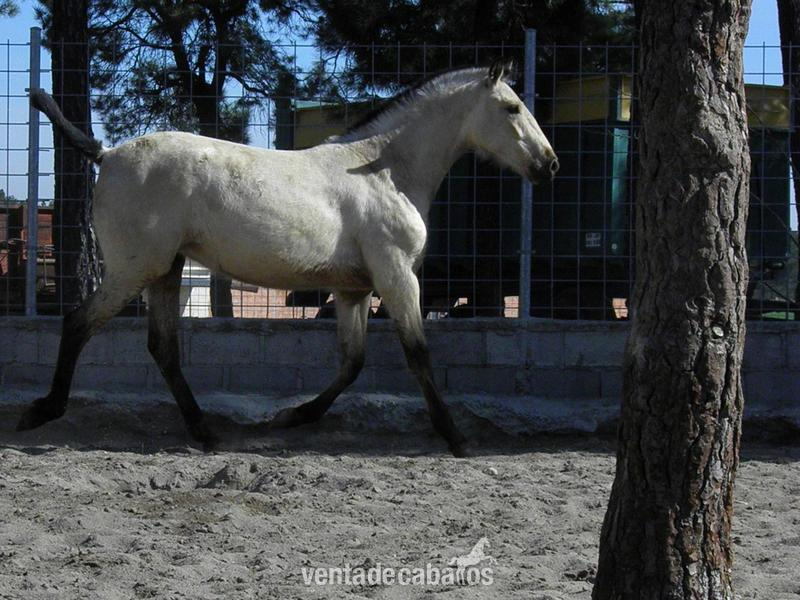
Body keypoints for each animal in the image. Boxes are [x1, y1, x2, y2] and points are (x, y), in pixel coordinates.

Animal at [17, 60, 557, 457]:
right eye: (511, 107)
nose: (549, 165)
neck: (384, 170)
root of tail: (105, 154)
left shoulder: (353, 290)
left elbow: (352, 362)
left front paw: (294, 416)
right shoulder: (397, 276)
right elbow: (418, 353)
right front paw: (457, 439)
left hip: (165, 271)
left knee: (162, 348)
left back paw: (205, 433)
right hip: (135, 269)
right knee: (78, 323)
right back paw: (43, 411)